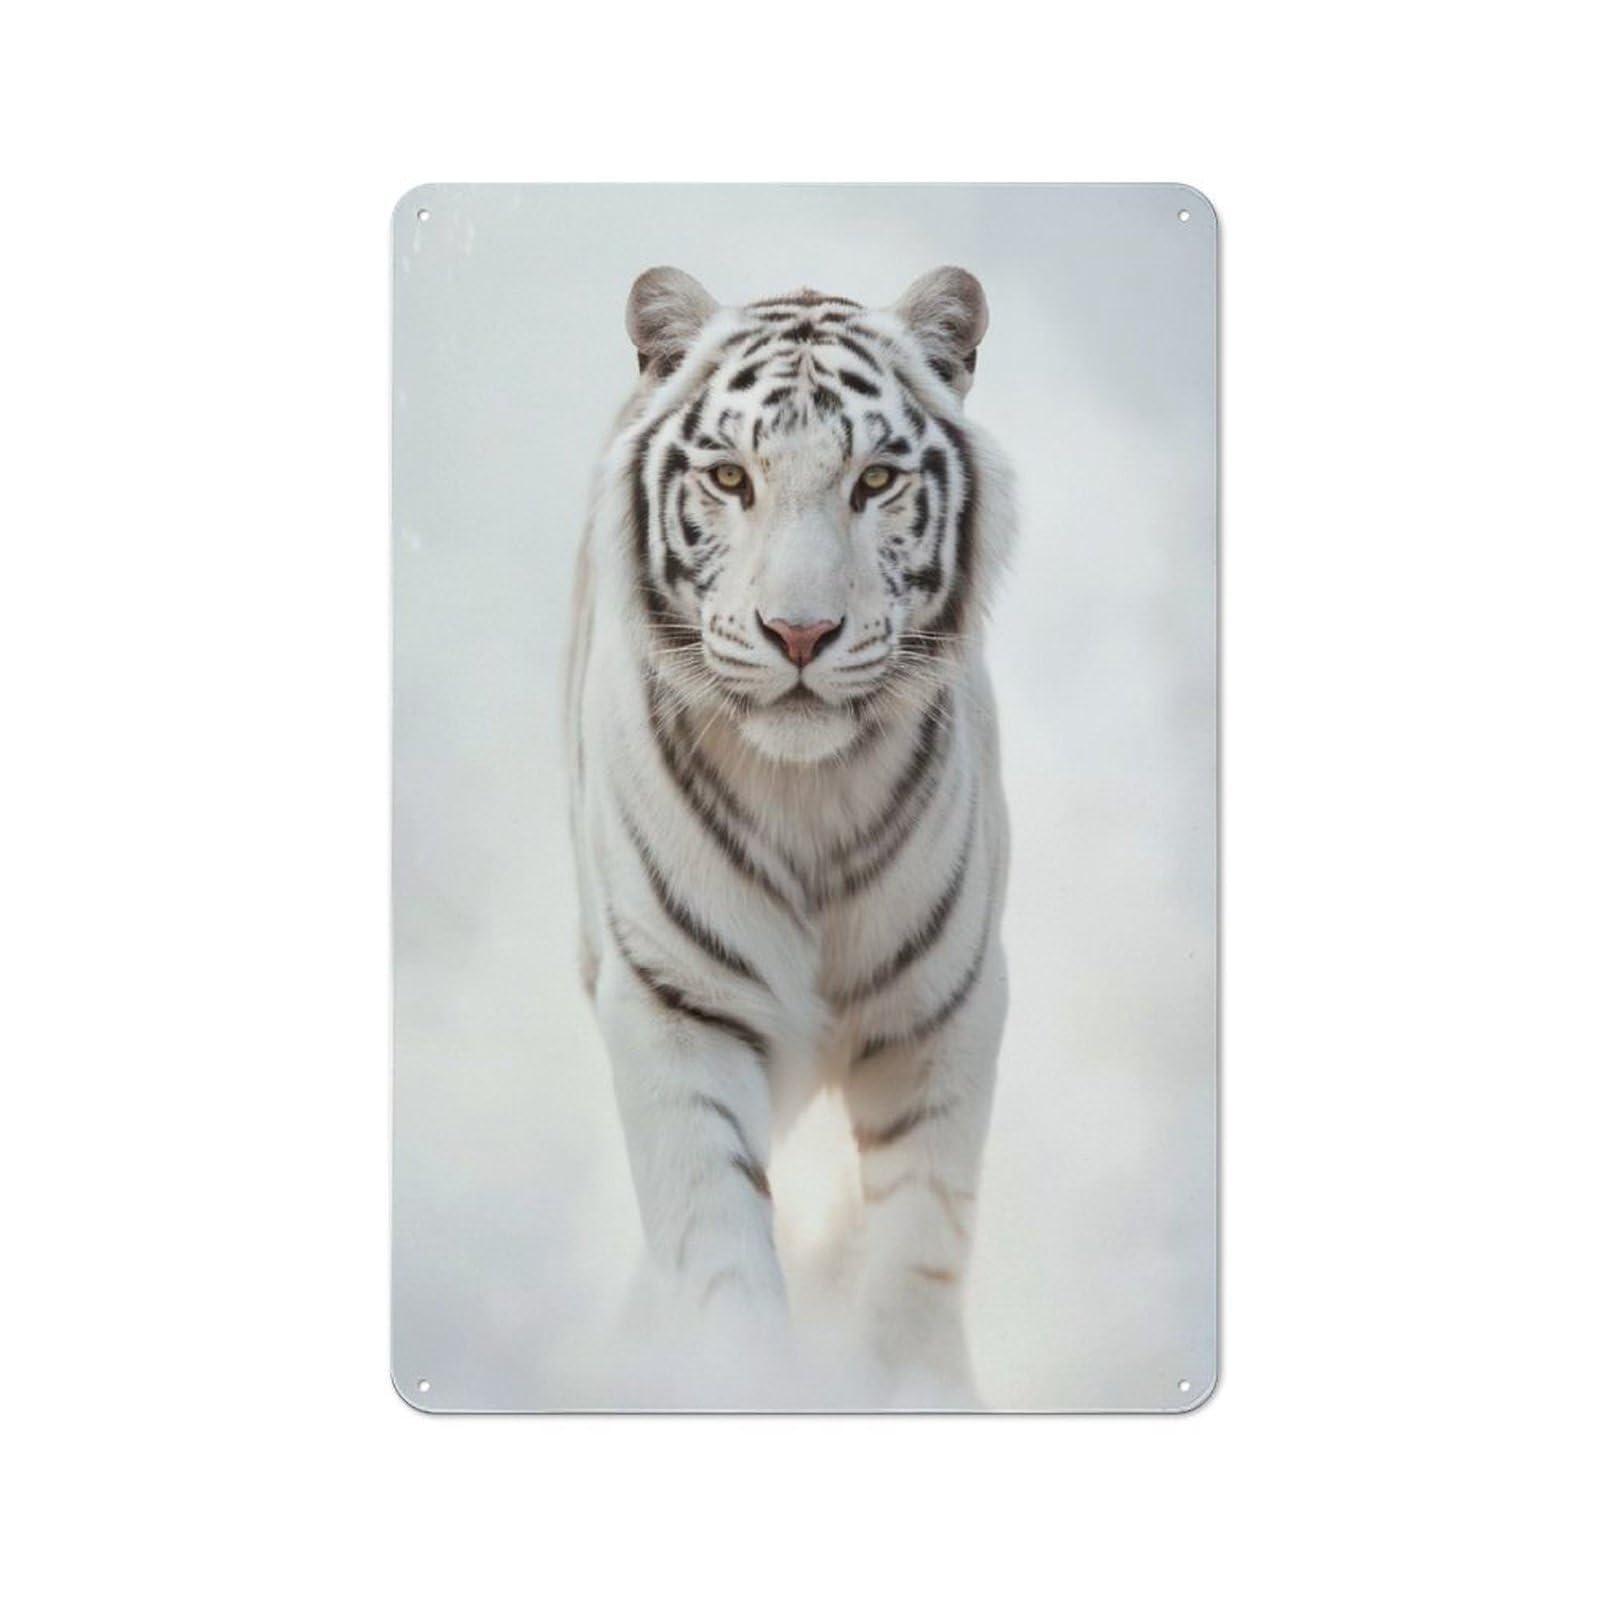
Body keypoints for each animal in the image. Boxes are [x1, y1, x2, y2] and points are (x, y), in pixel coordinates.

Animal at [565, 265, 1016, 1399]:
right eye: (730, 477)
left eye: (875, 480)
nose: (800, 633)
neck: (807, 795)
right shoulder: (672, 1001)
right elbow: (713, 1236)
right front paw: (738, 1381)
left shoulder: (945, 1005)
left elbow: (921, 1239)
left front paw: (912, 1393)